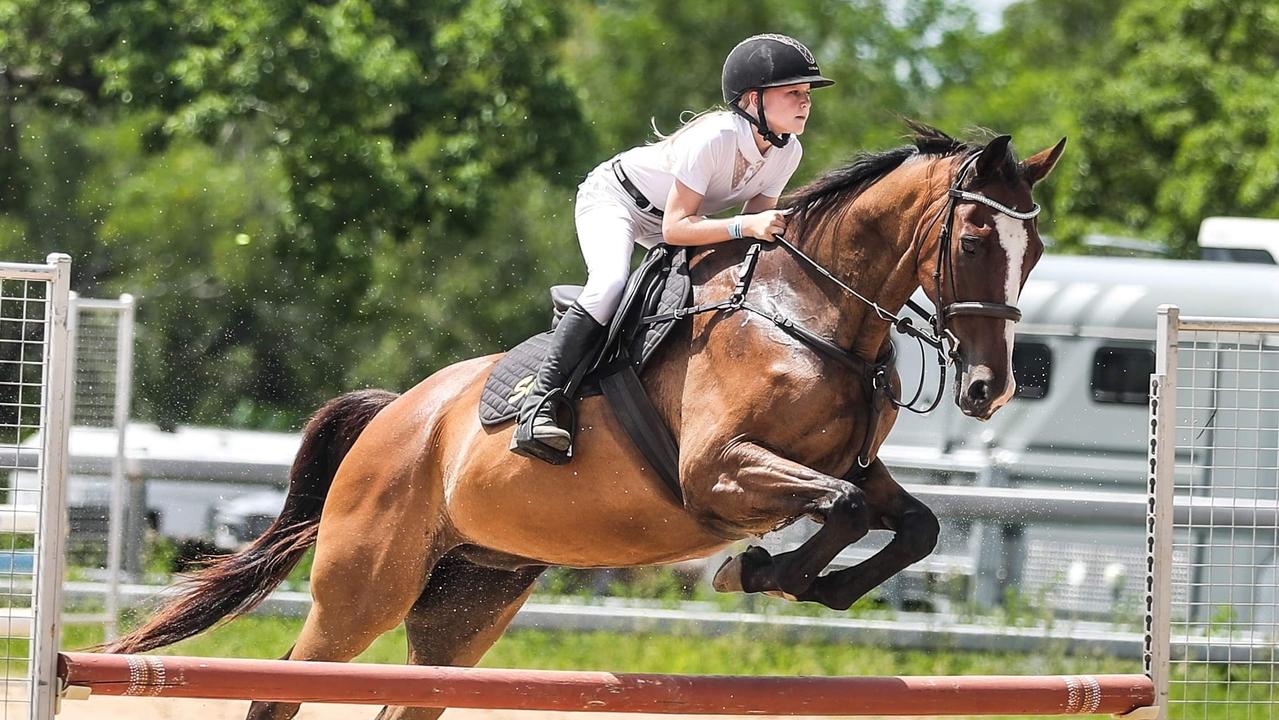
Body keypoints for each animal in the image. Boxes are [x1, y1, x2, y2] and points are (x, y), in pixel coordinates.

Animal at [107, 124, 1069, 720]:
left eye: (1035, 250)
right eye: (974, 240)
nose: (987, 390)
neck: (809, 315)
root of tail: (395, 417)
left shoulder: (853, 465)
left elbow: (908, 521)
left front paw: (804, 584)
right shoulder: (716, 470)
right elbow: (840, 505)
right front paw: (754, 570)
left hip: (469, 603)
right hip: (361, 591)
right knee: (282, 685)